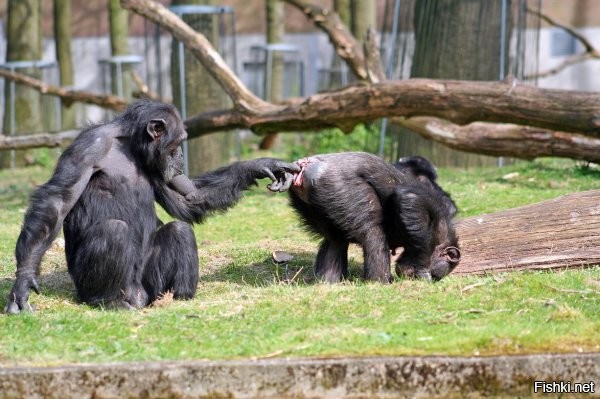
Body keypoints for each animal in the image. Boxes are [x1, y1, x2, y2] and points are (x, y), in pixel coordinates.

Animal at [5, 101, 298, 316]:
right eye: (177, 143)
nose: (180, 156)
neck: (129, 145)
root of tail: (138, 296)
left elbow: (189, 197)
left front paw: (262, 165)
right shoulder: (89, 146)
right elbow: (58, 200)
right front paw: (23, 282)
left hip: (148, 283)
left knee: (180, 230)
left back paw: (176, 297)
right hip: (97, 285)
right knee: (113, 230)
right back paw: (109, 301)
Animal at [282, 152, 460, 282]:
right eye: (435, 275)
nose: (411, 277)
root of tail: (304, 166)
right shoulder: (433, 205)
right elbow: (409, 198)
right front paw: (422, 269)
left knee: (335, 240)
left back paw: (328, 281)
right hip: (340, 186)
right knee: (372, 233)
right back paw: (380, 281)